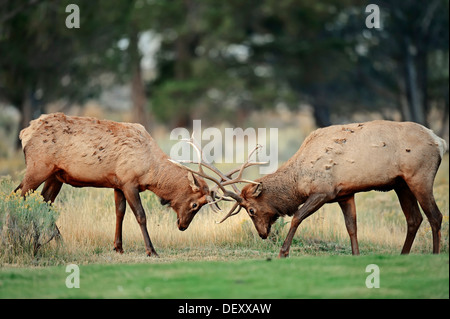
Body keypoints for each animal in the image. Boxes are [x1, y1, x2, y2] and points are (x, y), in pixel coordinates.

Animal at [15, 112, 258, 258]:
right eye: (194, 205)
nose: (182, 226)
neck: (150, 171)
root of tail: (24, 132)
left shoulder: (117, 183)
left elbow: (119, 213)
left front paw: (118, 247)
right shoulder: (129, 181)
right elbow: (140, 215)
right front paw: (151, 250)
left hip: (55, 175)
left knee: (44, 202)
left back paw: (50, 243)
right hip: (37, 168)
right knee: (19, 195)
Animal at [183, 120, 446, 258]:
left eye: (251, 210)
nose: (263, 234)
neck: (298, 181)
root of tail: (440, 142)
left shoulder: (323, 191)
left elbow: (297, 216)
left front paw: (283, 252)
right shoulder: (345, 193)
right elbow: (352, 227)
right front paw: (356, 255)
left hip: (420, 177)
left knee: (435, 215)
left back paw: (435, 255)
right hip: (401, 184)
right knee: (414, 218)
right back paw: (403, 255)